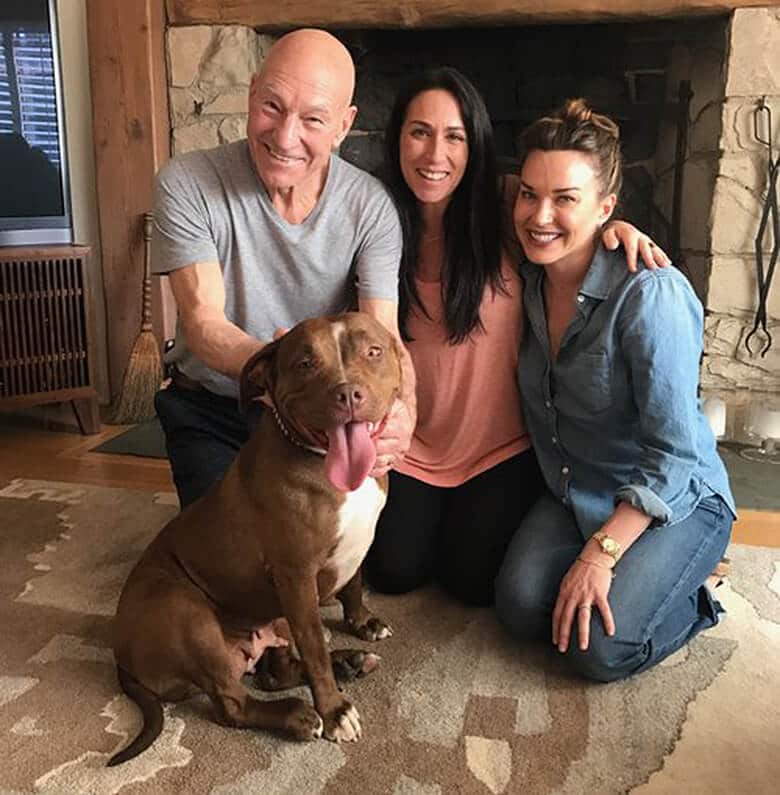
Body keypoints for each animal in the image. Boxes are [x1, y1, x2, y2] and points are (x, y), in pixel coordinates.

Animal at [109, 310, 402, 764]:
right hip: (186, 612)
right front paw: (334, 711)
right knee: (233, 703)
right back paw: (302, 714)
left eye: (373, 351)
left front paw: (362, 621)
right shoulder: (295, 576)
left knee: (275, 672)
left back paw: (350, 662)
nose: (348, 393)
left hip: (271, 618)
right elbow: (314, 649)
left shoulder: (355, 543)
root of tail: (121, 653)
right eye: (305, 363)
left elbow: (353, 584)